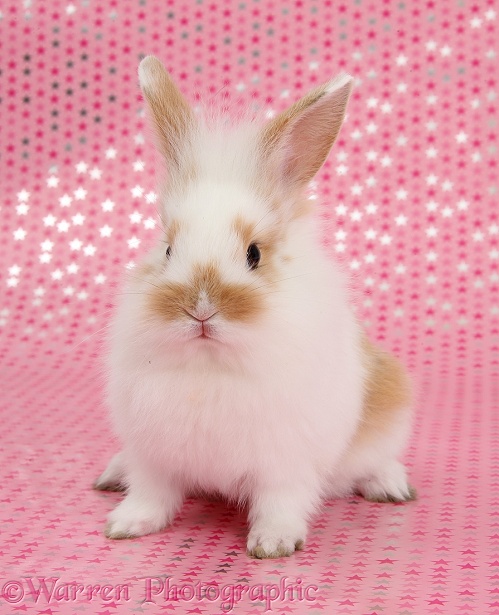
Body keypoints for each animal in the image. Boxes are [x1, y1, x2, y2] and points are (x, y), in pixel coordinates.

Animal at [95, 55, 416, 560]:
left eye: (254, 254)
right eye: (167, 249)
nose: (200, 308)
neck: (209, 367)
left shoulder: (286, 460)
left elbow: (280, 501)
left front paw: (274, 543)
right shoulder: (154, 453)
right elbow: (152, 493)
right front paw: (127, 525)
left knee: (378, 460)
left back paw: (391, 486)